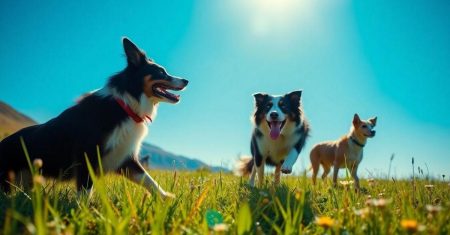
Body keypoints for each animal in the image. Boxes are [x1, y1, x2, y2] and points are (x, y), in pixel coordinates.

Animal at [0, 37, 188, 198]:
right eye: (161, 72)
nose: (186, 80)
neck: (125, 104)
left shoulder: (124, 156)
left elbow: (148, 179)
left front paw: (166, 198)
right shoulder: (87, 154)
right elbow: (85, 191)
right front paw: (82, 212)